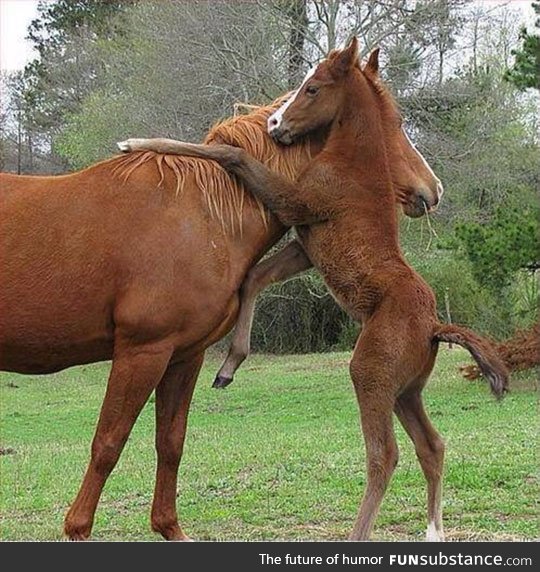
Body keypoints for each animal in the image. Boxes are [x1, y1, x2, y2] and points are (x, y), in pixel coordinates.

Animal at [0, 81, 442, 540]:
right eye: (392, 124)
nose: (434, 189)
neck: (202, 215)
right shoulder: (142, 353)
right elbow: (108, 443)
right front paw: (77, 528)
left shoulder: (184, 356)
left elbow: (170, 443)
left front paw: (168, 527)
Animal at [119, 39, 510, 540]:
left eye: (313, 88)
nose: (274, 124)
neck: (354, 161)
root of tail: (434, 325)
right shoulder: (305, 244)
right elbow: (254, 277)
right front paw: (229, 366)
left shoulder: (297, 204)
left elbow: (233, 157)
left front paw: (136, 142)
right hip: (406, 391)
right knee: (433, 445)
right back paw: (433, 530)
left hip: (370, 374)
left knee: (385, 456)